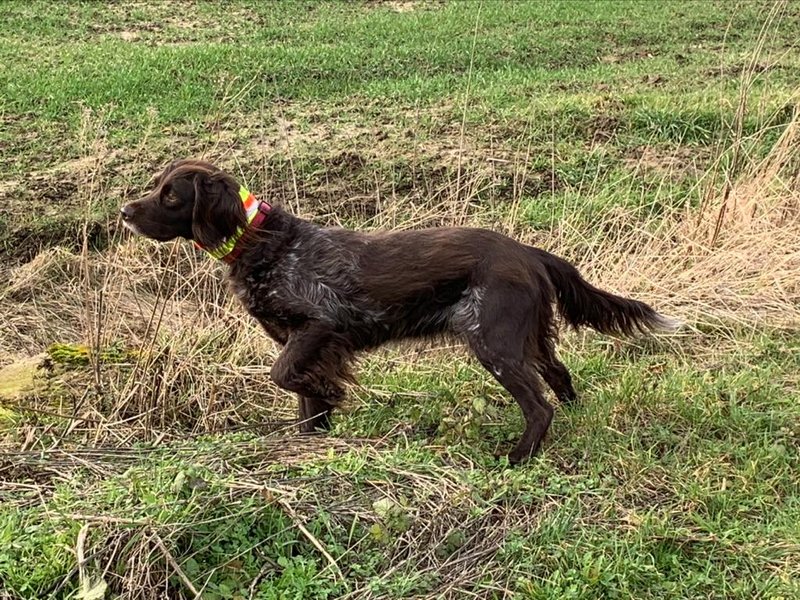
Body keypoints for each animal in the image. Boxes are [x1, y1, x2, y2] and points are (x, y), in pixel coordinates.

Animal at [121, 159, 678, 463]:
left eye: (170, 196)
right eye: (157, 187)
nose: (125, 211)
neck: (262, 243)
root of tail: (526, 251)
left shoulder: (320, 324)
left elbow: (285, 376)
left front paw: (332, 395)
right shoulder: (304, 341)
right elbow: (303, 401)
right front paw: (312, 437)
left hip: (492, 339)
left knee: (538, 406)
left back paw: (517, 457)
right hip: (530, 337)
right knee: (560, 378)